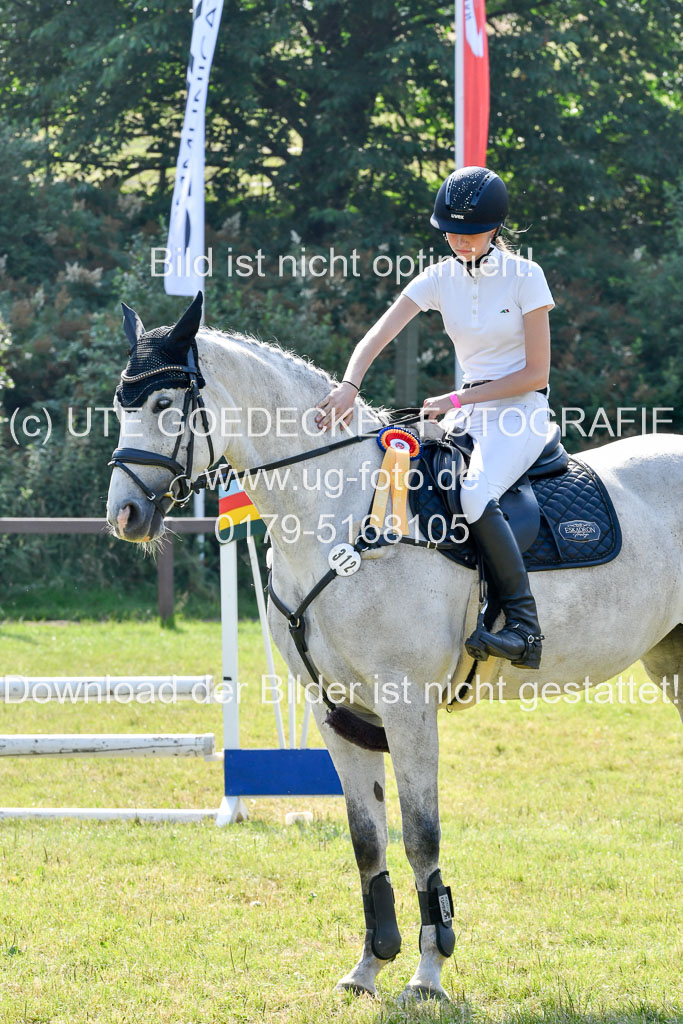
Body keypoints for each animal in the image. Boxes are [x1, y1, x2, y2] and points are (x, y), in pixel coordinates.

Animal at [106, 293, 683, 1002]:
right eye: (120, 404)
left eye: (164, 404)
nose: (125, 515)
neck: (334, 510)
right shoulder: (337, 712)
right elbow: (367, 842)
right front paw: (369, 965)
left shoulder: (407, 707)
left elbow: (420, 838)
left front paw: (429, 974)